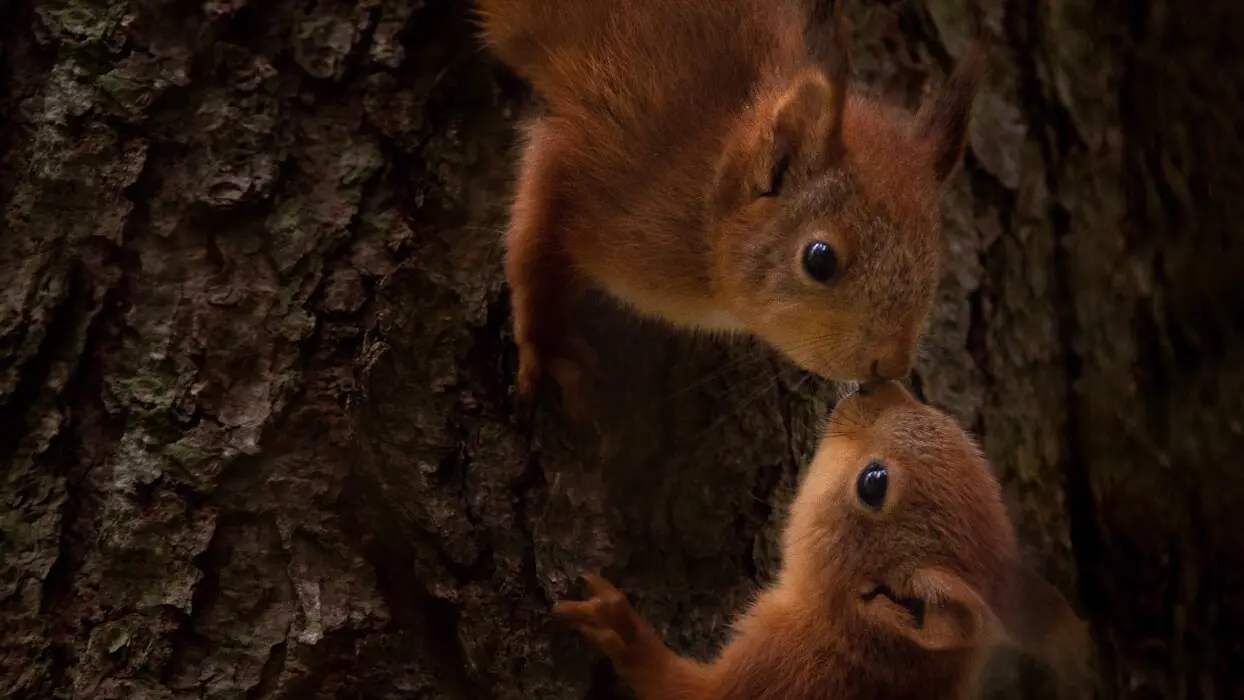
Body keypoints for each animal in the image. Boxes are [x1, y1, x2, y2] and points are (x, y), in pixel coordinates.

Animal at [472, 0, 980, 412]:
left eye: (933, 264)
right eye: (819, 260)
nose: (891, 364)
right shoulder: (597, 158)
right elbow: (534, 246)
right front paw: (547, 344)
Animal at [552, 380, 1089, 696]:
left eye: (874, 483)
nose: (876, 383)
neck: (857, 647)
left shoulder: (778, 675)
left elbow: (683, 692)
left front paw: (622, 628)